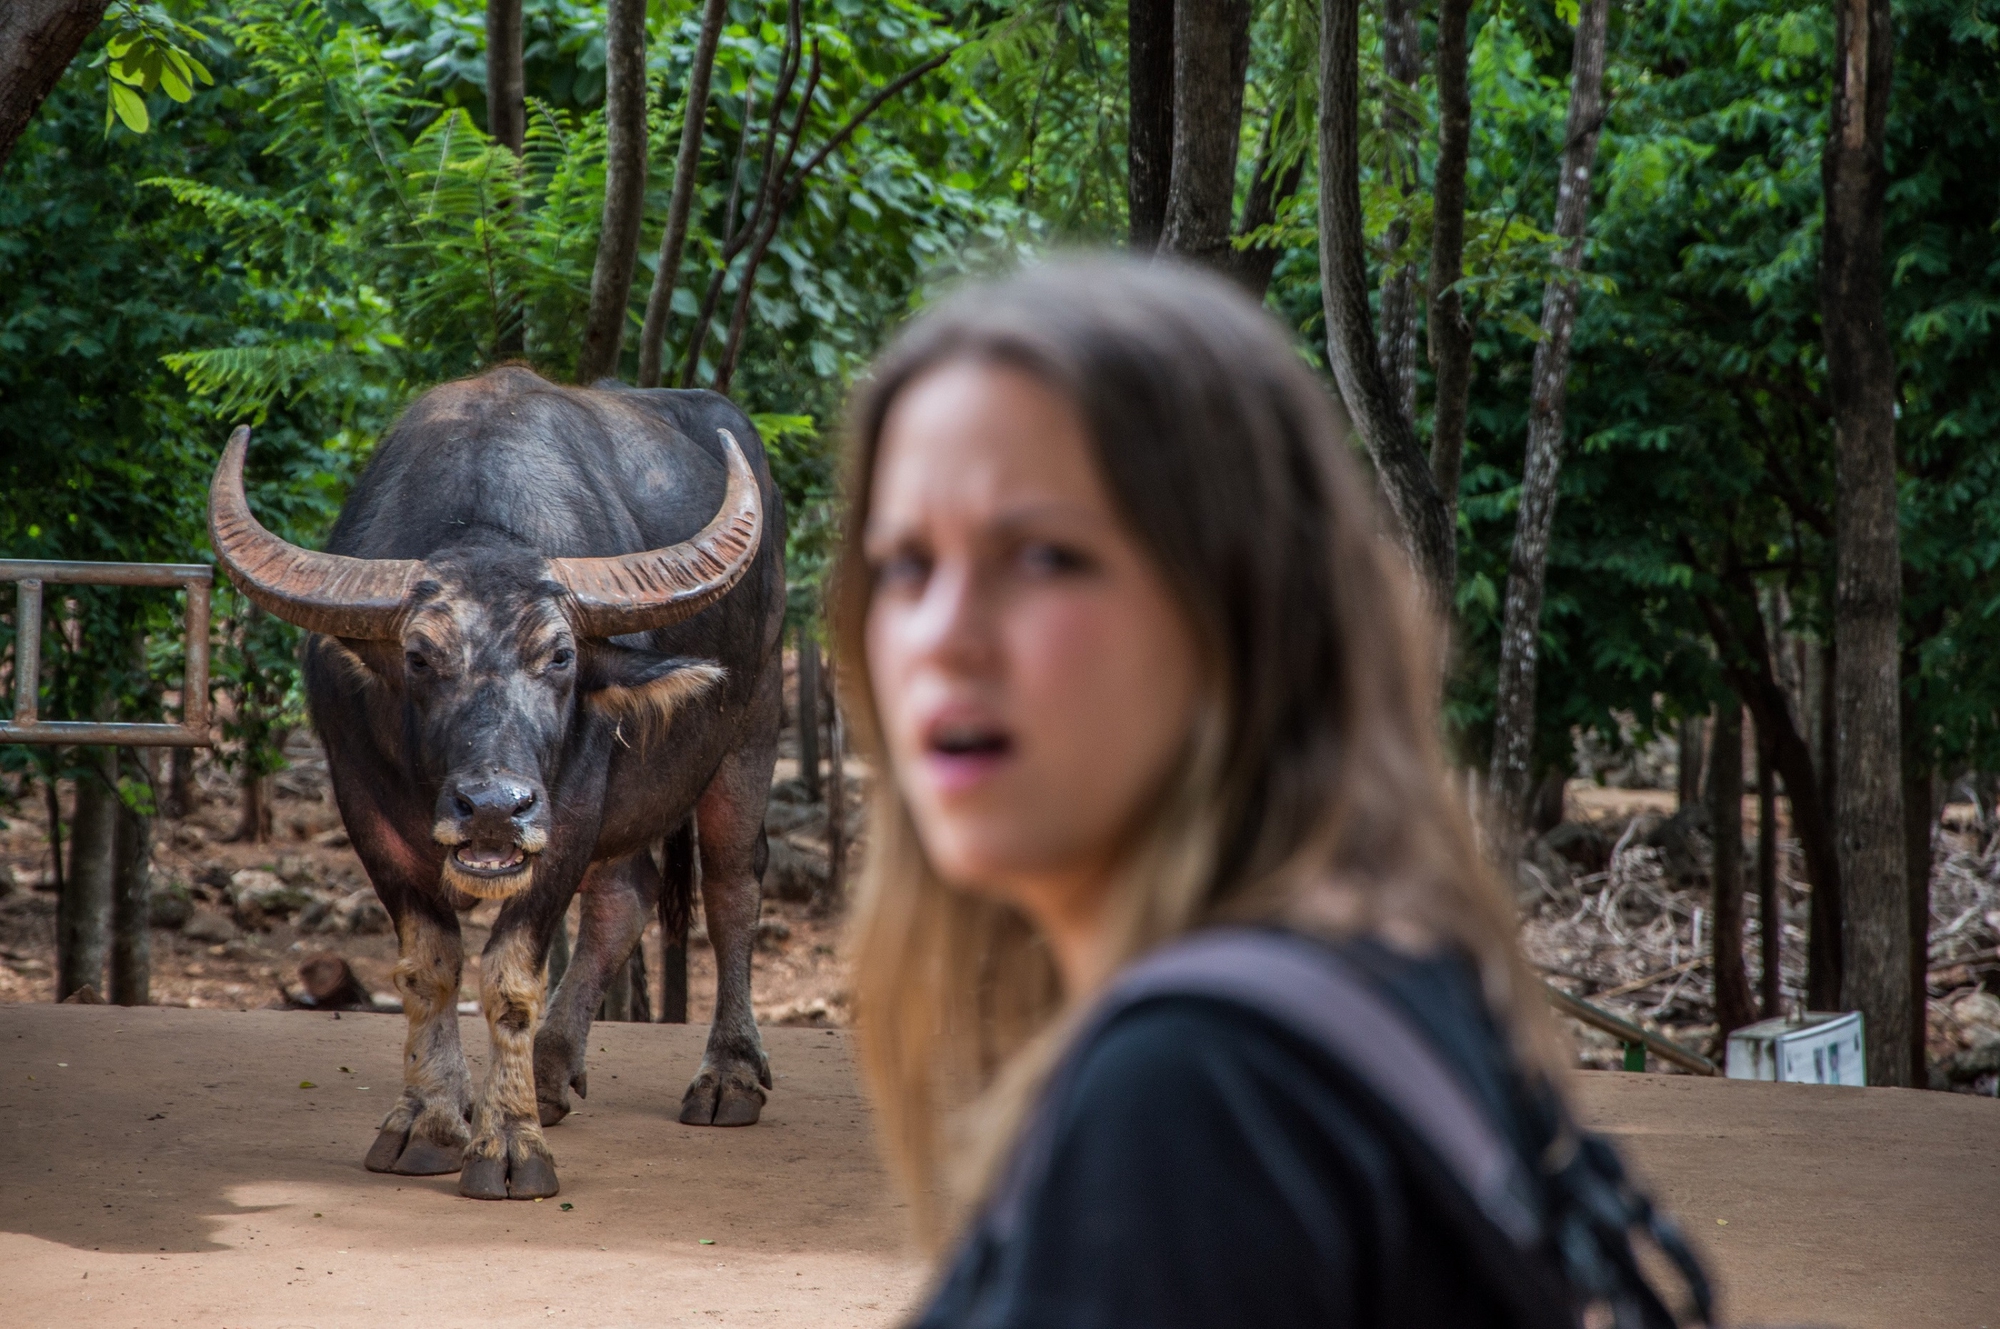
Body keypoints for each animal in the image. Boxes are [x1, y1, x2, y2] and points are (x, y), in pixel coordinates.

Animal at [207, 368, 784, 1200]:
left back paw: (728, 1077)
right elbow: (430, 967)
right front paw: (428, 1121)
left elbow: (511, 977)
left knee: (734, 883)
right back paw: (550, 1068)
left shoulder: (567, 811)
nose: (493, 809)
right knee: (623, 896)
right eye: (418, 656)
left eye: (561, 656)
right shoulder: (364, 808)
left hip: (753, 725)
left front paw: (510, 1142)